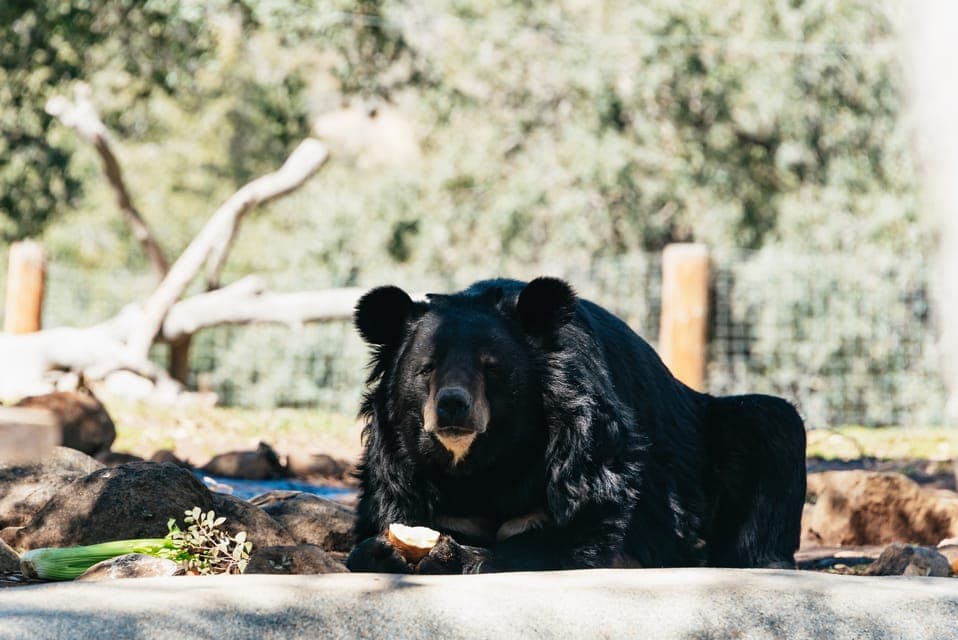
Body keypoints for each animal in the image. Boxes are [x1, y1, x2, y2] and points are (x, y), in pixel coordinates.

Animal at [346, 277, 806, 574]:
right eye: (426, 368)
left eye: (491, 369)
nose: (452, 407)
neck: (482, 464)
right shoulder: (402, 465)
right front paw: (381, 551)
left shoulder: (585, 450)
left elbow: (576, 526)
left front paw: (457, 556)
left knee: (772, 425)